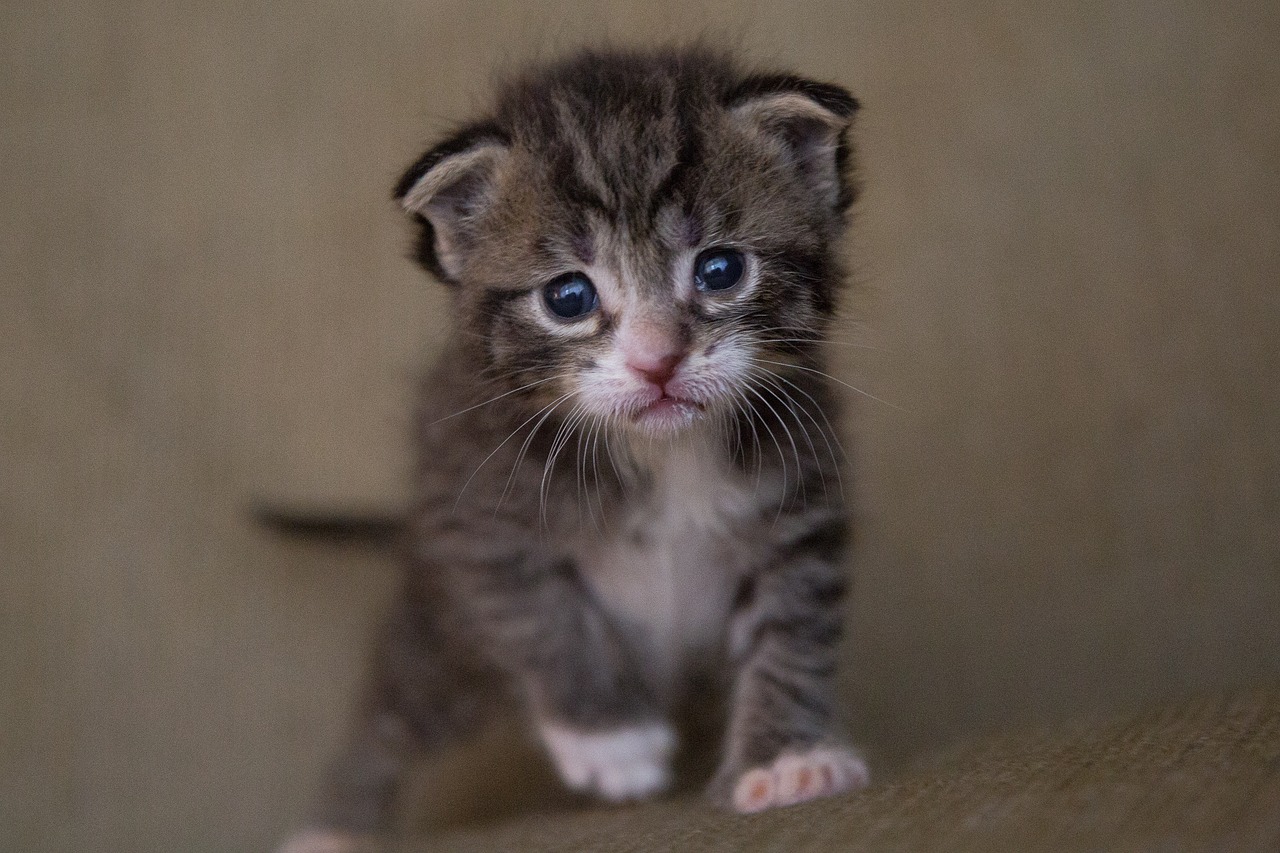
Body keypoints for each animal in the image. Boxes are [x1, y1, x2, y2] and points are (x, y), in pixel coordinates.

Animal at [280, 46, 870, 850]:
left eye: (720, 270)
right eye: (569, 297)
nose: (657, 362)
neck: (661, 456)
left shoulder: (799, 505)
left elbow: (793, 632)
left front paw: (785, 760)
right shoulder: (476, 519)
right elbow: (543, 618)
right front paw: (610, 739)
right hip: (442, 640)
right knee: (390, 714)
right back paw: (331, 830)